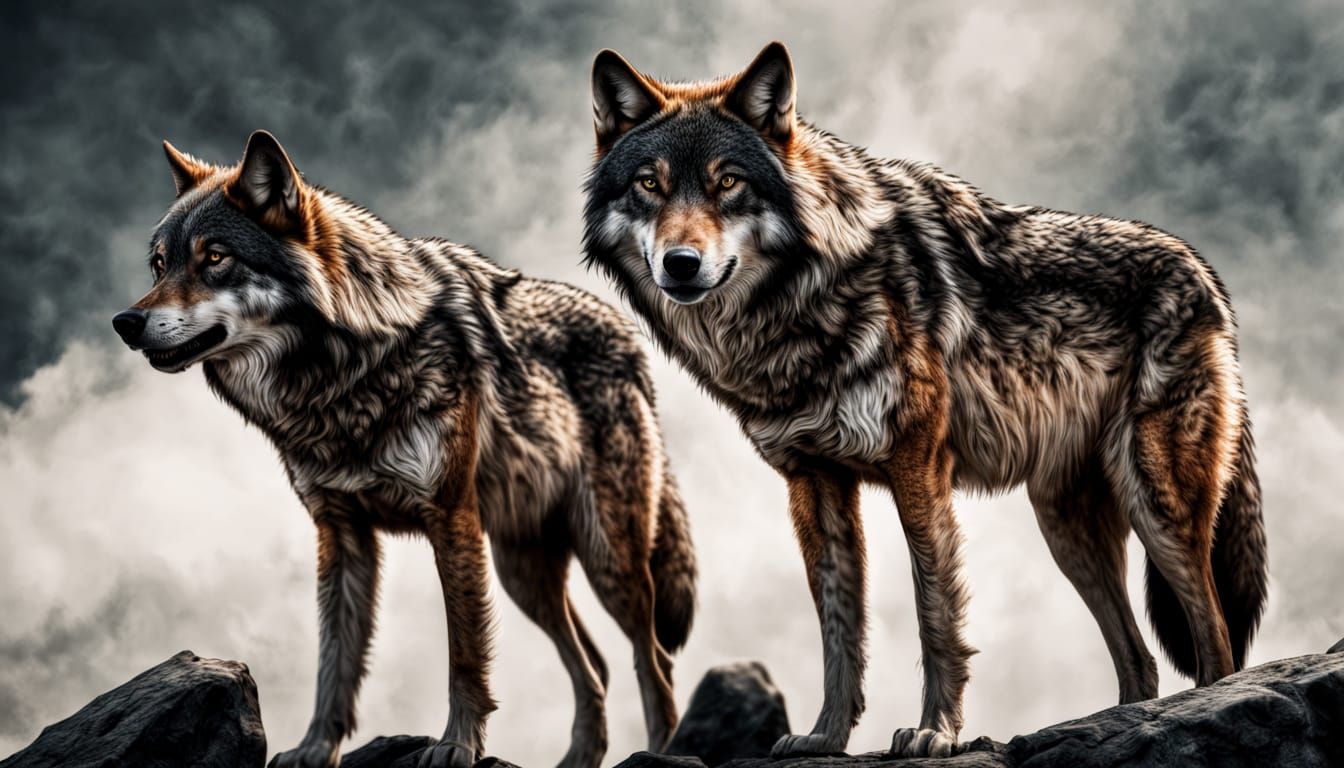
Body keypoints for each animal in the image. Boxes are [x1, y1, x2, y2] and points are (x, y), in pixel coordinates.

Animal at [112, 131, 696, 768]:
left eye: (215, 258)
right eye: (160, 264)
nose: (126, 321)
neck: (339, 379)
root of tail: (629, 335)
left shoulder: (451, 519)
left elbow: (464, 654)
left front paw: (457, 744)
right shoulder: (341, 534)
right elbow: (334, 660)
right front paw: (315, 748)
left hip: (608, 556)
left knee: (653, 660)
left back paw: (664, 749)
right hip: (524, 574)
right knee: (595, 666)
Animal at [582, 42, 1268, 758]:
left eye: (728, 182)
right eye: (649, 185)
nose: (680, 263)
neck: (800, 312)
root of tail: (1204, 273)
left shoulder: (919, 468)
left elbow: (934, 614)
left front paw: (936, 731)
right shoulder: (813, 483)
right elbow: (838, 631)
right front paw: (825, 736)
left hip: (1156, 503)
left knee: (1215, 639)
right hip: (1067, 530)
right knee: (1140, 659)